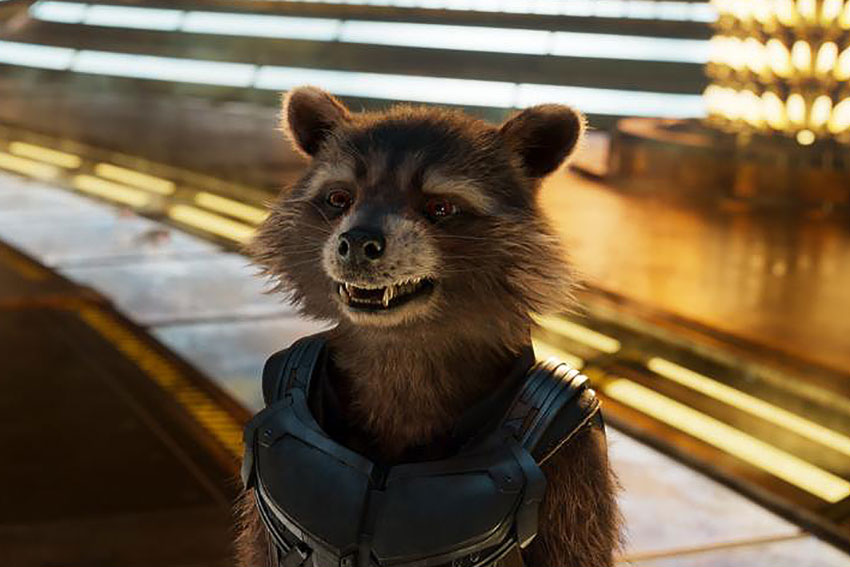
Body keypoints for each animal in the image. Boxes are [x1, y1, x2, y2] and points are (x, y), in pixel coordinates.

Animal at [239, 86, 620, 567]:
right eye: (339, 199)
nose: (358, 242)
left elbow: (576, 548)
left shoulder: (575, 445)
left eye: (440, 207)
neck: (403, 339)